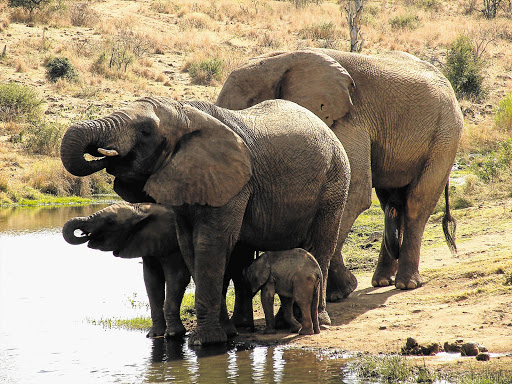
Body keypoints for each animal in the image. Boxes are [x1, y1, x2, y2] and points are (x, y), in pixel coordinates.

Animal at [61, 201, 192, 340]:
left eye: (110, 221)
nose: (85, 234)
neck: (144, 209)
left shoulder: (173, 244)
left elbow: (177, 278)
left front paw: (173, 335)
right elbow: (152, 281)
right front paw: (154, 335)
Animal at [216, 48, 464, 294]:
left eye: (249, 106)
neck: (282, 59)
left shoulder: (346, 120)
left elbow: (353, 192)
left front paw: (339, 292)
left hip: (446, 134)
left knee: (416, 201)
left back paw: (406, 284)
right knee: (390, 202)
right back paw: (382, 281)